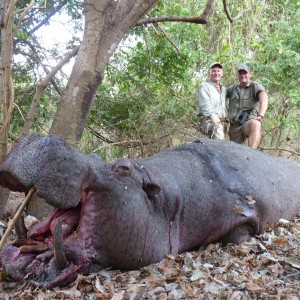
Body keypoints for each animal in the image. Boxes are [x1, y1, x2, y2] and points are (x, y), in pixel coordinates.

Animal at [0, 134, 300, 288]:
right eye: (96, 156)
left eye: (123, 167)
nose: (41, 137)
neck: (171, 197)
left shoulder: (244, 218)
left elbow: (238, 233)